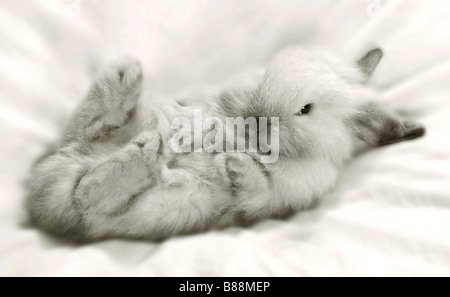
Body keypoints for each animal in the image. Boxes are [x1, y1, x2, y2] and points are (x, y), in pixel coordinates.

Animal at [29, 46, 426, 240]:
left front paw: (230, 162)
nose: (258, 117)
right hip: (98, 144)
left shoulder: (281, 197)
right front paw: (210, 135)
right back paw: (127, 78)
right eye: (269, 74)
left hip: (128, 212)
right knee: (92, 133)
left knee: (88, 195)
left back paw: (148, 152)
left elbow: (256, 189)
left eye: (306, 109)